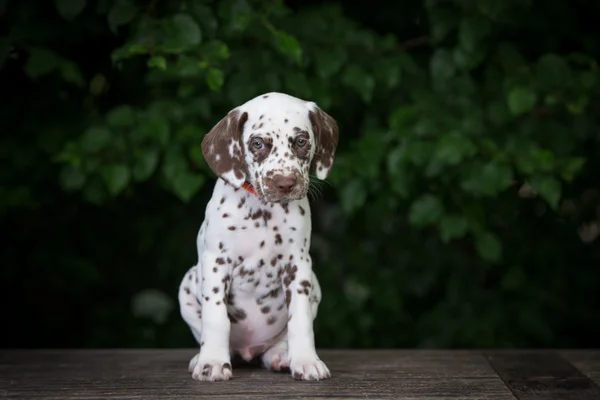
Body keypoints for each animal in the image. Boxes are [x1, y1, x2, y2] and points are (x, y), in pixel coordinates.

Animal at [177, 91, 338, 382]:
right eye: (258, 143)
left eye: (301, 141)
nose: (285, 183)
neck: (262, 212)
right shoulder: (216, 263)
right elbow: (215, 319)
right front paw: (212, 362)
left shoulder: (298, 267)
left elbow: (300, 320)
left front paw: (306, 361)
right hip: (187, 284)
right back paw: (202, 357)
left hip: (314, 285)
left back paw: (281, 356)